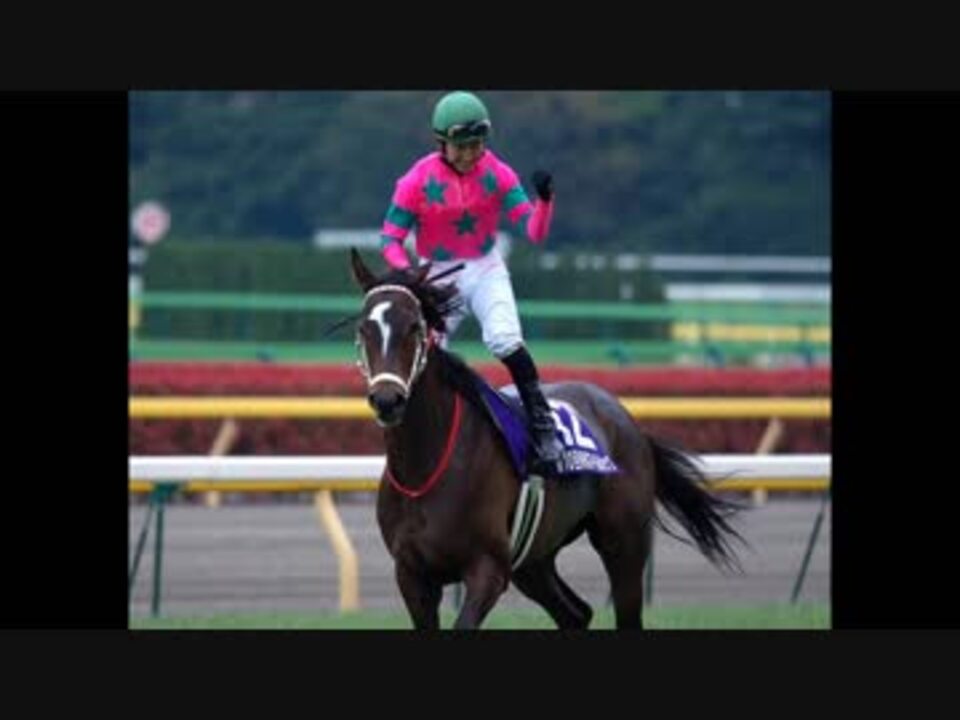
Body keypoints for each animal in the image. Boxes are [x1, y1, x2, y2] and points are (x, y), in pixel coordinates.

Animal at [348, 248, 744, 630]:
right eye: (364, 328)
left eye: (414, 326)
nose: (387, 400)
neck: (426, 466)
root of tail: (624, 415)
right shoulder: (412, 576)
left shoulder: (488, 568)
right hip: (533, 560)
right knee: (576, 613)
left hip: (623, 543)